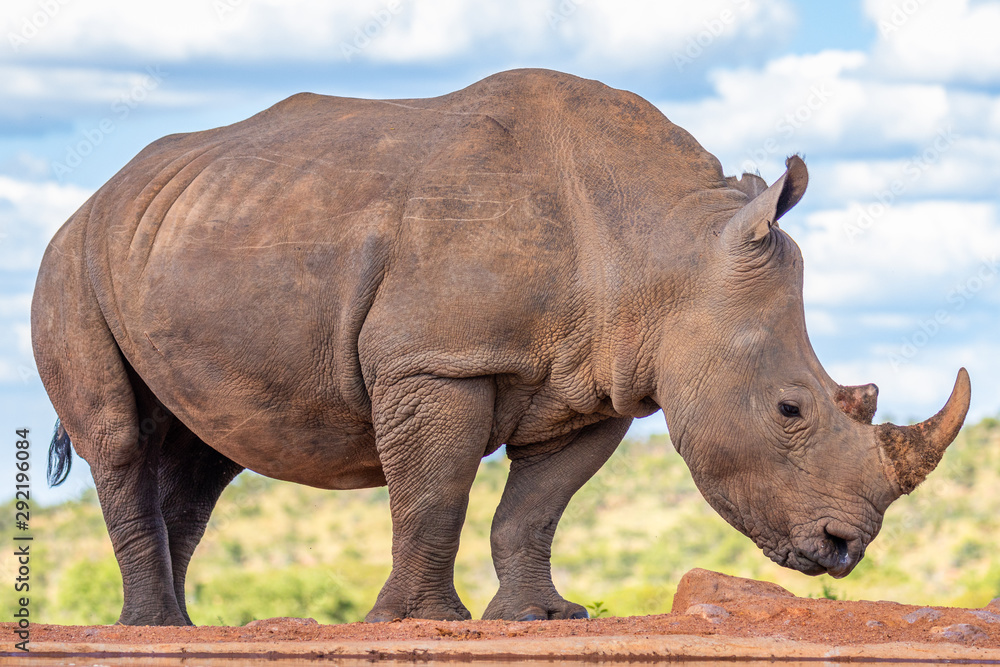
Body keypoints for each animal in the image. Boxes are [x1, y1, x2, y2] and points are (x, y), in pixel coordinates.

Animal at [32, 68, 970, 626]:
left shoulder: (601, 380)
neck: (662, 246)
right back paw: (150, 627)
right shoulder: (437, 358)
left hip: (183, 237)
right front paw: (421, 622)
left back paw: (178, 625)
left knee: (206, 454)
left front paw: (544, 618)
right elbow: (436, 492)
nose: (844, 549)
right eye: (789, 408)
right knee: (121, 437)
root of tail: (100, 194)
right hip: (69, 259)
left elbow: (535, 508)